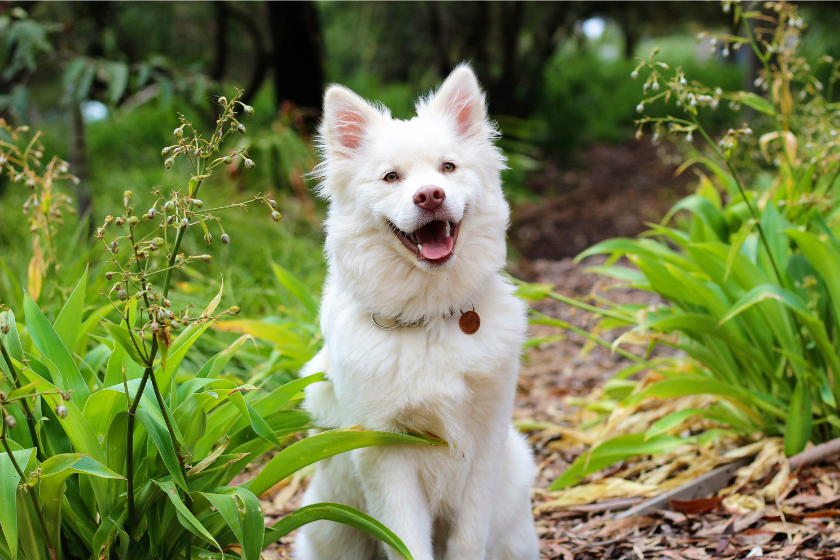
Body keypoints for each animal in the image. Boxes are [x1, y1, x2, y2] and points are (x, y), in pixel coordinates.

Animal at [296, 65, 540, 560]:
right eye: (391, 177)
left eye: (448, 167)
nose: (430, 195)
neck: (431, 318)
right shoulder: (385, 453)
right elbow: (407, 540)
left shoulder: (485, 444)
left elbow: (469, 540)